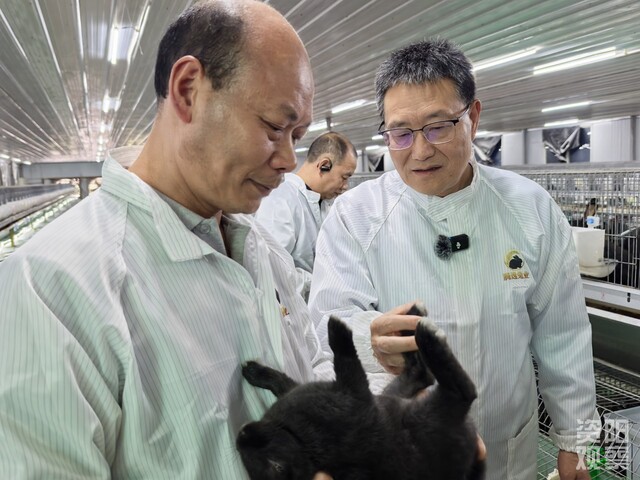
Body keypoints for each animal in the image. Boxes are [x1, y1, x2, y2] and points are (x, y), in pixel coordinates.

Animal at [236, 303, 485, 479]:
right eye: (275, 466)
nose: (241, 435)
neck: (300, 440)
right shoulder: (354, 392)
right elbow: (346, 360)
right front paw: (337, 328)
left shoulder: (299, 389)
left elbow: (282, 381)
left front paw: (254, 372)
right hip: (426, 414)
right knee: (462, 391)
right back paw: (426, 335)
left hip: (392, 394)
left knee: (421, 374)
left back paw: (413, 319)